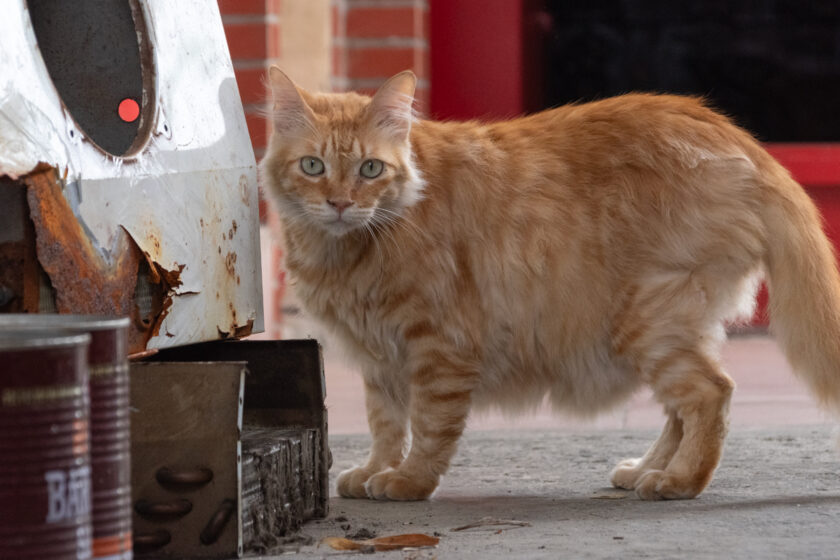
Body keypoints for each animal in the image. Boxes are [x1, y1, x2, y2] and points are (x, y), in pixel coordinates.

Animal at [260, 68, 840, 500]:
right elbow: (385, 424)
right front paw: (375, 470)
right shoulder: (380, 360)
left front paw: (407, 481)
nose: (339, 204)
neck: (347, 253)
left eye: (370, 169)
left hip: (652, 321)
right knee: (681, 409)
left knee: (710, 395)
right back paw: (645, 470)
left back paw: (678, 481)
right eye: (313, 166)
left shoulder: (438, 346)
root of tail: (739, 137)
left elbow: (428, 426)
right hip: (671, 327)